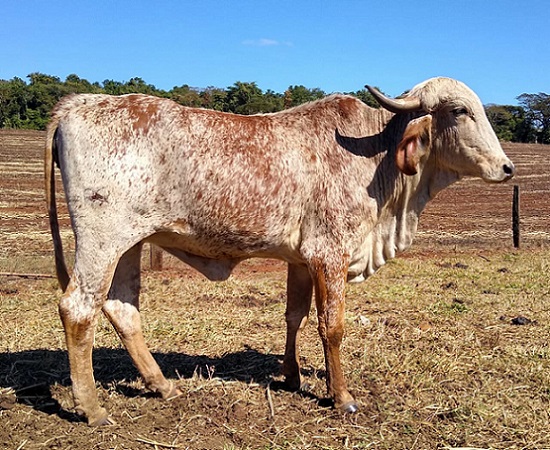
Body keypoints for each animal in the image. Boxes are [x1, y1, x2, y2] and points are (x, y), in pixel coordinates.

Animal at [45, 77, 516, 426]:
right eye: (460, 111)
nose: (507, 167)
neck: (374, 155)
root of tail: (75, 105)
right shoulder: (330, 253)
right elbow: (332, 327)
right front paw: (341, 395)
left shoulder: (302, 260)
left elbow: (295, 316)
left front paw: (291, 375)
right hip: (102, 240)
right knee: (78, 308)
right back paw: (92, 408)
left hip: (130, 244)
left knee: (121, 308)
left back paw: (163, 386)